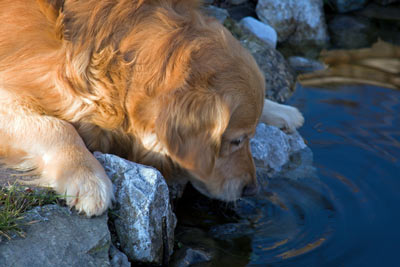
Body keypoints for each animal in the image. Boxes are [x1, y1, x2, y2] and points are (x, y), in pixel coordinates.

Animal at [0, 0, 302, 217]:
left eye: (249, 137)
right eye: (236, 141)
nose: (252, 189)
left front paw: (280, 110)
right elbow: (59, 126)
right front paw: (87, 176)